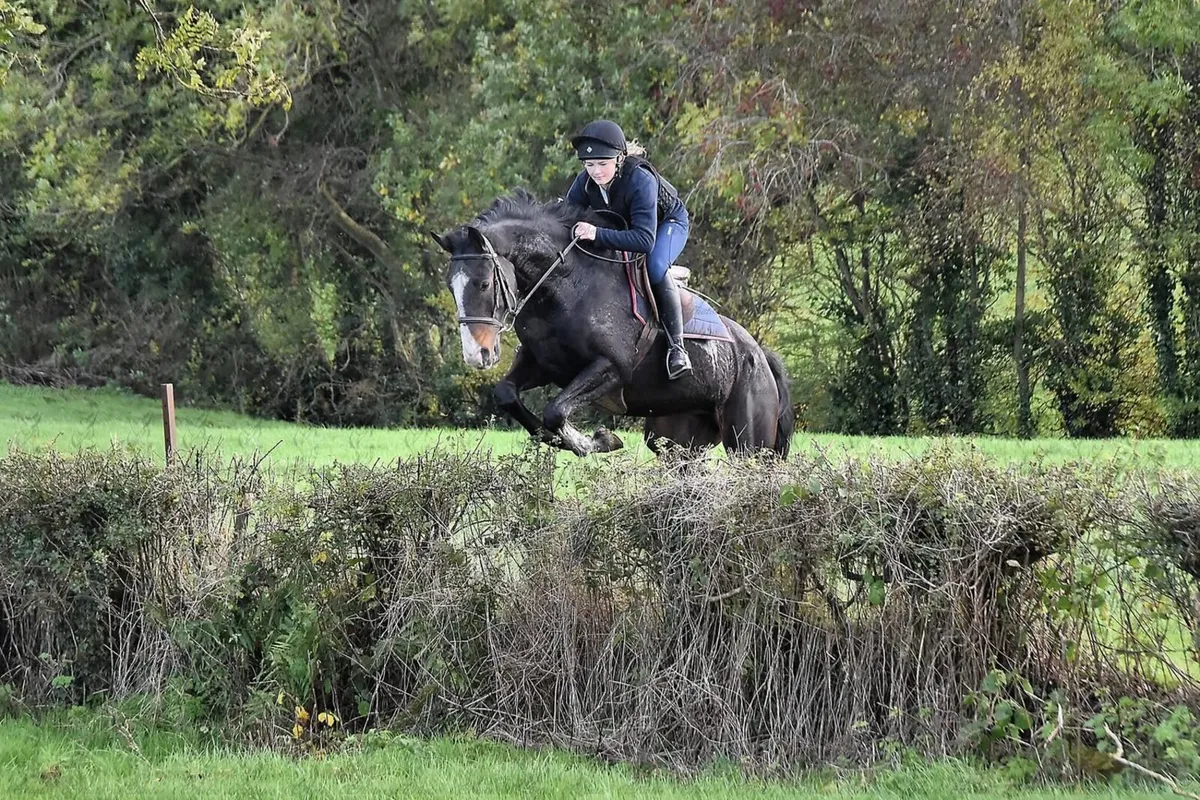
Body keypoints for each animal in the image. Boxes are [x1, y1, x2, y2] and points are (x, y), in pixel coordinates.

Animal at [430, 189, 794, 459]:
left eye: (483, 284)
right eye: (450, 286)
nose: (476, 355)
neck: (566, 285)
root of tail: (760, 355)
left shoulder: (612, 367)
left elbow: (556, 411)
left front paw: (599, 441)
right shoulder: (542, 364)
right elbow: (508, 395)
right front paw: (573, 441)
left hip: (749, 443)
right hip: (676, 442)